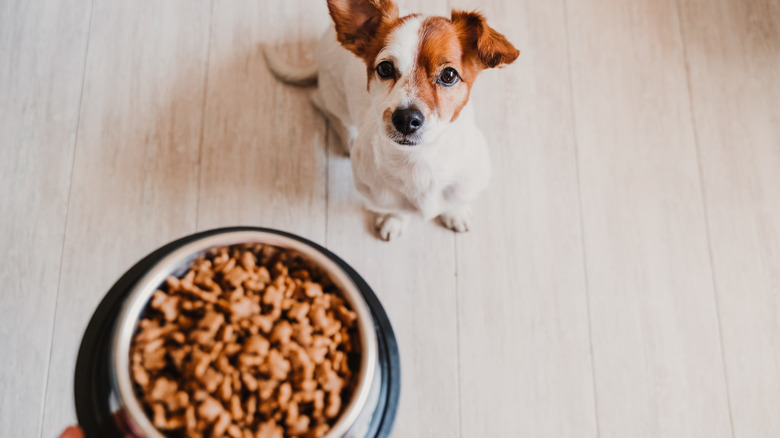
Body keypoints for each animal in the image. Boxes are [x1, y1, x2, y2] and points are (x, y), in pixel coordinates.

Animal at [266, 0, 520, 240]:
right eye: (385, 68)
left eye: (449, 75)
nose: (406, 118)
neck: (419, 161)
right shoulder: (378, 195)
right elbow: (396, 209)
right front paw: (394, 220)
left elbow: (456, 200)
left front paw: (455, 212)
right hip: (333, 98)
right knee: (320, 102)